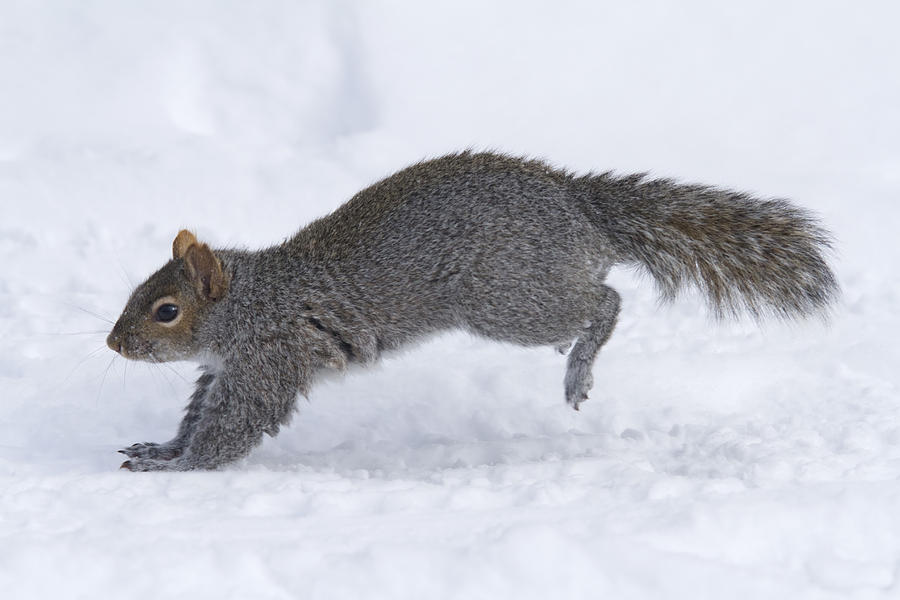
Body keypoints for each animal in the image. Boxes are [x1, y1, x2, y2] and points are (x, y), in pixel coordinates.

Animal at [109, 150, 840, 468]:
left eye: (166, 310)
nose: (114, 345)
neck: (249, 301)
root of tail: (579, 206)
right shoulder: (225, 367)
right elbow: (199, 413)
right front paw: (162, 445)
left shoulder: (271, 354)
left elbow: (233, 426)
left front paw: (175, 467)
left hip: (506, 299)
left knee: (605, 299)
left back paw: (579, 364)